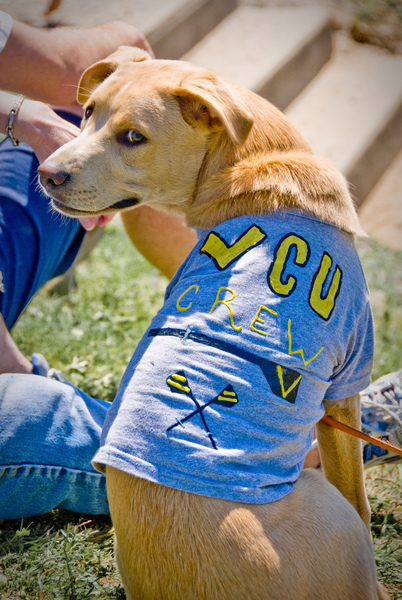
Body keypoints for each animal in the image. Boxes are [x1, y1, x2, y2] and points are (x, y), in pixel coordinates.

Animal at [39, 48, 388, 600]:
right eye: (89, 112)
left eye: (133, 137)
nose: (46, 173)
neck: (254, 163)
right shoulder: (347, 382)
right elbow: (357, 489)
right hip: (330, 511)